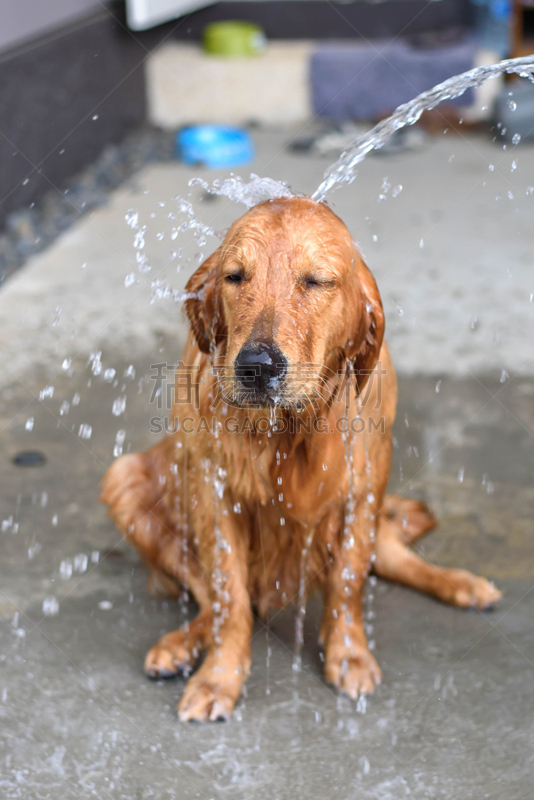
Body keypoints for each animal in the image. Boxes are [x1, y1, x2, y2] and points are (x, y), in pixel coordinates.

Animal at [99, 197, 502, 720]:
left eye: (315, 281)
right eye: (234, 276)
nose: (256, 366)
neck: (290, 431)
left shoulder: (363, 488)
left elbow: (349, 580)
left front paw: (349, 654)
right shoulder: (215, 494)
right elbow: (228, 597)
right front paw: (218, 678)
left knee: (392, 556)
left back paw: (463, 585)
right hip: (124, 476)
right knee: (217, 601)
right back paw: (182, 644)